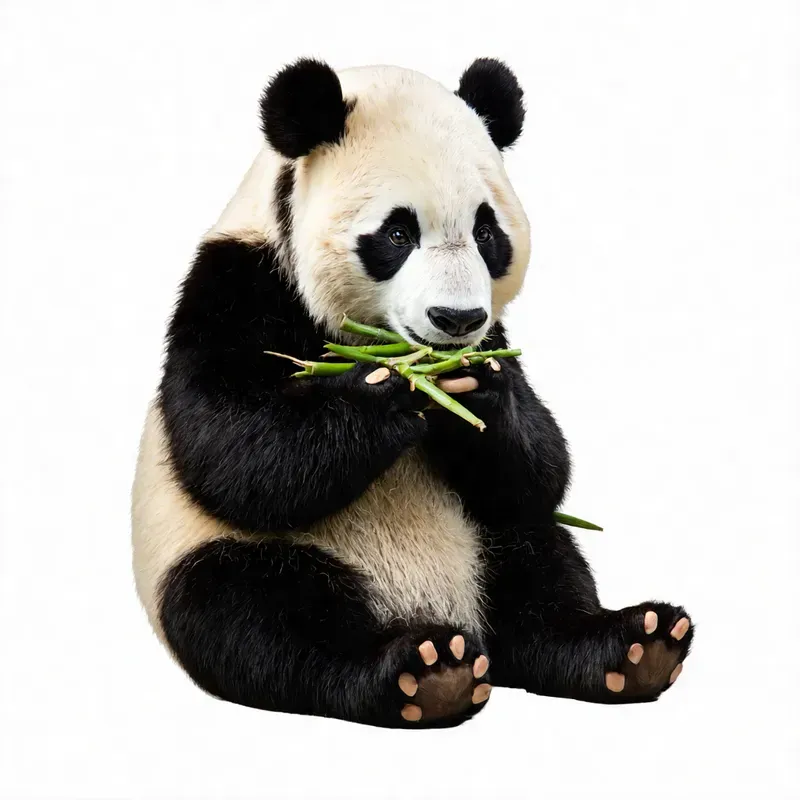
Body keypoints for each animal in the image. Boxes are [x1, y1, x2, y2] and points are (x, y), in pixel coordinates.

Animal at [132, 57, 694, 728]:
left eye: (486, 231)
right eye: (398, 233)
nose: (456, 320)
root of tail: (452, 617)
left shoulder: (497, 336)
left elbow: (543, 462)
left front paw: (475, 393)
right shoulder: (235, 285)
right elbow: (233, 452)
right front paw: (390, 390)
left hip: (485, 539)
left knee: (538, 565)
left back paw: (633, 646)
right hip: (220, 555)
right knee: (263, 617)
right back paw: (420, 673)